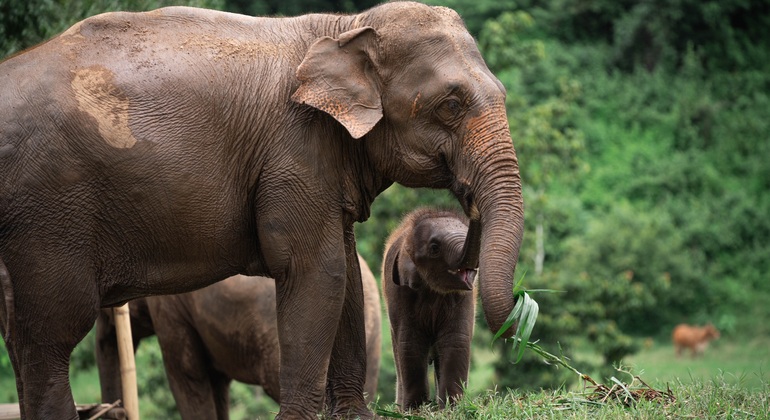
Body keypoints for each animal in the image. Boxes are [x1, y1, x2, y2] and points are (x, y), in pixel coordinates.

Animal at [382, 207, 478, 410]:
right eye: (434, 248)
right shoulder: (401, 293)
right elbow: (410, 343)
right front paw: (415, 409)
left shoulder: (464, 298)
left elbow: (456, 339)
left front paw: (452, 408)